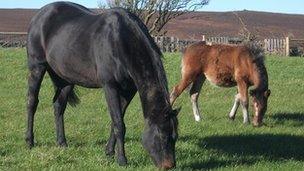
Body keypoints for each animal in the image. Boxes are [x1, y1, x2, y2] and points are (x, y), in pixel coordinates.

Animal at [26, 1, 179, 170]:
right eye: (162, 135)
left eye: (175, 136)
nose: (169, 165)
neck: (120, 40)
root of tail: (39, 16)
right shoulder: (110, 86)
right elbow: (119, 123)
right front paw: (122, 160)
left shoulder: (128, 90)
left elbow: (116, 120)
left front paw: (109, 152)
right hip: (37, 67)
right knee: (32, 102)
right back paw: (29, 142)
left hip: (66, 79)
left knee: (59, 106)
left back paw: (62, 142)